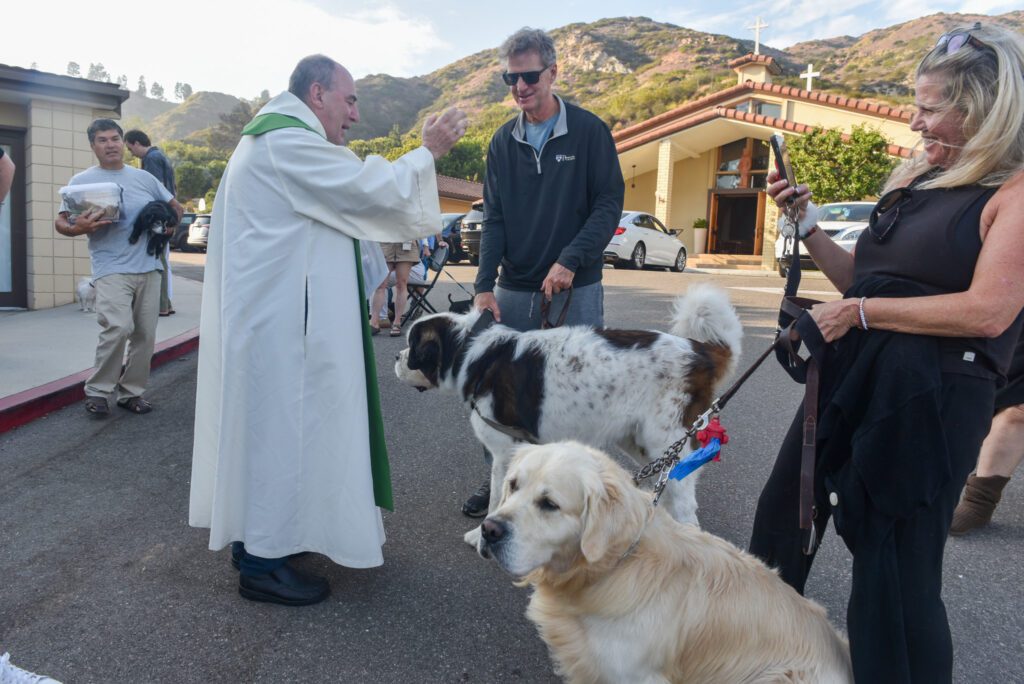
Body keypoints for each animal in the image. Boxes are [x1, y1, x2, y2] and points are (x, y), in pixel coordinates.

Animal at [393, 282, 745, 544]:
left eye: (413, 346)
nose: (397, 356)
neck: (469, 352)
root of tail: (699, 350)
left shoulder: (506, 450)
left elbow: (498, 497)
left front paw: (482, 536)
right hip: (644, 443)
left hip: (665, 438)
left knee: (685, 504)